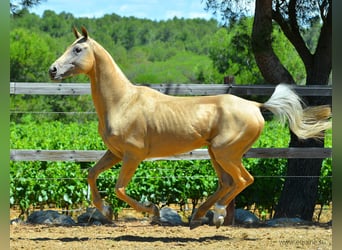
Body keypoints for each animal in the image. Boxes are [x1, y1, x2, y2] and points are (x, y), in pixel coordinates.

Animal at [48, 26, 332, 229]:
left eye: (77, 50)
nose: (52, 70)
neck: (123, 102)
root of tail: (255, 105)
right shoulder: (115, 153)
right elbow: (91, 174)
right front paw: (105, 211)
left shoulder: (133, 155)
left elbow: (119, 188)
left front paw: (153, 211)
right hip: (216, 154)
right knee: (227, 183)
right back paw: (201, 215)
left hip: (226, 153)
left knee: (243, 180)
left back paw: (217, 215)